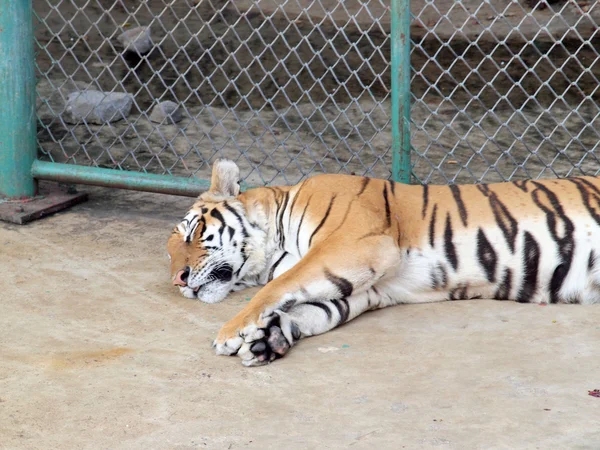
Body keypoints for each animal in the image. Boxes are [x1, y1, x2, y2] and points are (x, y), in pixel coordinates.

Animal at [165, 158, 600, 366]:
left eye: (191, 233)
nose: (178, 280)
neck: (276, 247)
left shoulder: (357, 244)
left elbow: (277, 288)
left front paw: (231, 332)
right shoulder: (369, 287)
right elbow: (313, 309)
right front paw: (266, 341)